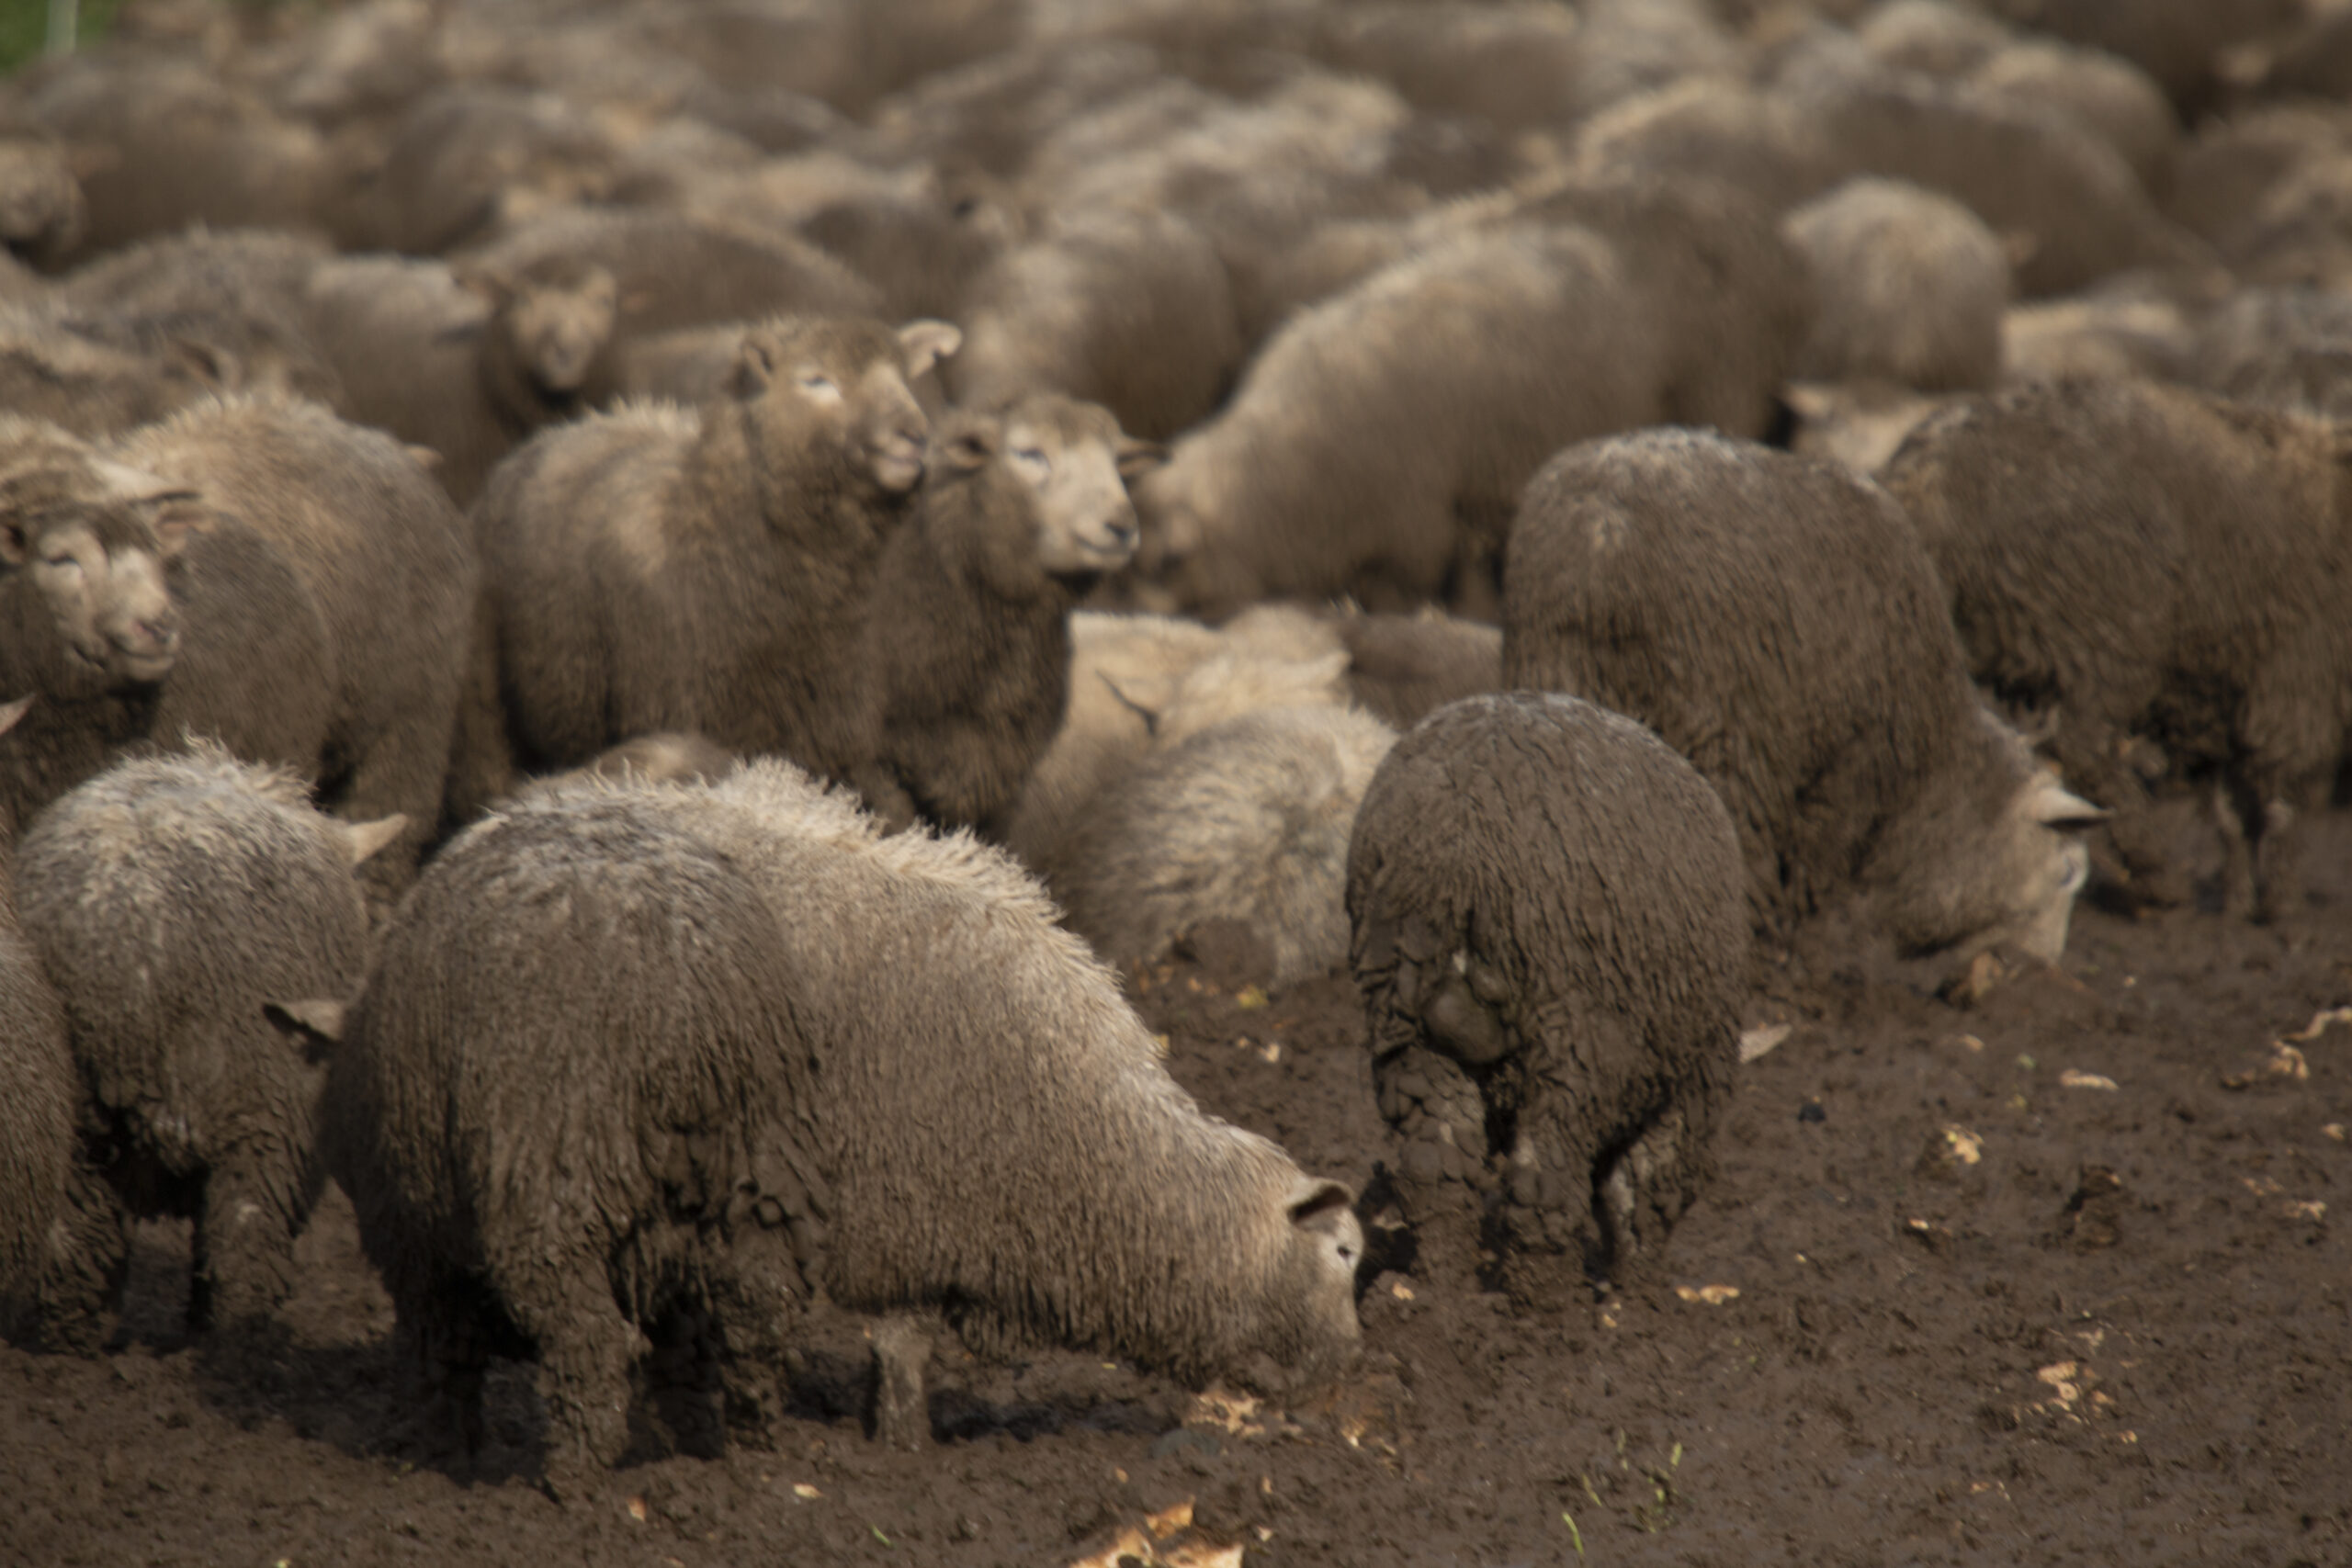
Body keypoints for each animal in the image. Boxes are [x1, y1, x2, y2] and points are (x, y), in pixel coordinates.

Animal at [13, 744, 400, 1339]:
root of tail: (127, 943)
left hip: (76, 1120)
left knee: (75, 1245)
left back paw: (76, 1340)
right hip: (267, 1116)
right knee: (243, 1249)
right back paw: (236, 1343)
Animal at [329, 766, 1361, 1491]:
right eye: (1346, 1253)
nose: (1348, 1375)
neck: (1092, 1148)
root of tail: (490, 821)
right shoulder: (914, 1215)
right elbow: (902, 1351)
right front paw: (903, 1451)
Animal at [1346, 692, 1748, 1299]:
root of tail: (1457, 846)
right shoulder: (1689, 1080)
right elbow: (1641, 1185)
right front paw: (1634, 1295)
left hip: (1401, 1017)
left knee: (1435, 1164)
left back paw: (1439, 1292)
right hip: (1579, 1037)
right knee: (1546, 1175)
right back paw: (1544, 1305)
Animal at [1504, 427, 2105, 967]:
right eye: (2065, 875)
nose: (2041, 967)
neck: (1935, 770)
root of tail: (1603, 533)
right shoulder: (1847, 773)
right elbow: (1818, 868)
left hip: (1559, 665)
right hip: (1731, 726)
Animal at [1880, 379, 2352, 922]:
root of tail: (1925, 476)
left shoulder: (2218, 687)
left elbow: (2230, 806)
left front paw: (2238, 899)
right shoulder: (2294, 673)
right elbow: (2281, 795)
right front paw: (2281, 900)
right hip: (2096, 636)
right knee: (2085, 749)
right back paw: (2156, 873)